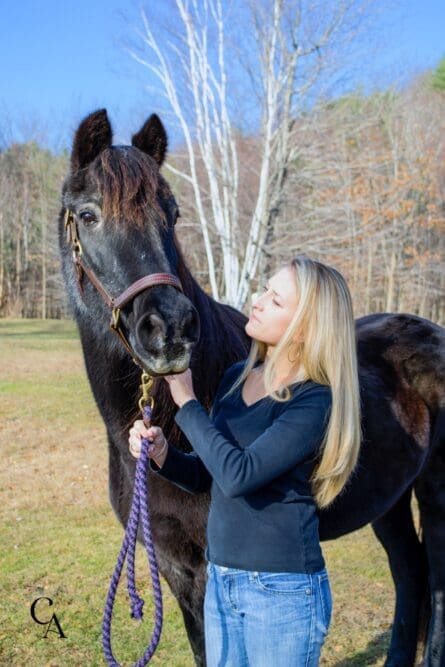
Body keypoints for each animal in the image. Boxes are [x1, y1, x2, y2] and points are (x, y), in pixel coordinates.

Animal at [59, 111, 444, 667]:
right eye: (88, 216)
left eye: (172, 214)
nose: (170, 329)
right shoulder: (174, 565)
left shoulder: (209, 567)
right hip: (388, 498)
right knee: (409, 570)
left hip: (436, 491)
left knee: (435, 575)